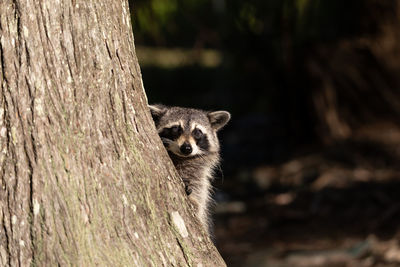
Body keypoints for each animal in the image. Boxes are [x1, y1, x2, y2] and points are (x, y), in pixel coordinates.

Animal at [149, 104, 231, 234]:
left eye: (197, 132)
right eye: (176, 129)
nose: (187, 148)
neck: (180, 157)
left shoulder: (198, 175)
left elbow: (199, 198)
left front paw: (193, 199)